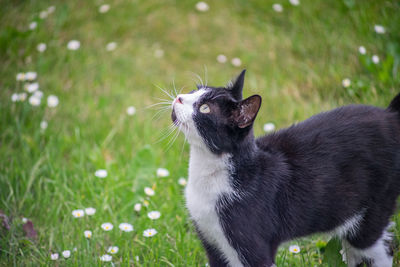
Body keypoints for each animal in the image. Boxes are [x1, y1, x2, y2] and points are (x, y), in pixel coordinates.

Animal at [170, 70, 400, 266]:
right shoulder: (211, 242)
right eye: (194, 91)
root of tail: (390, 114)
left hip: (374, 208)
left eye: (205, 108)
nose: (179, 97)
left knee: (377, 247)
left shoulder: (253, 246)